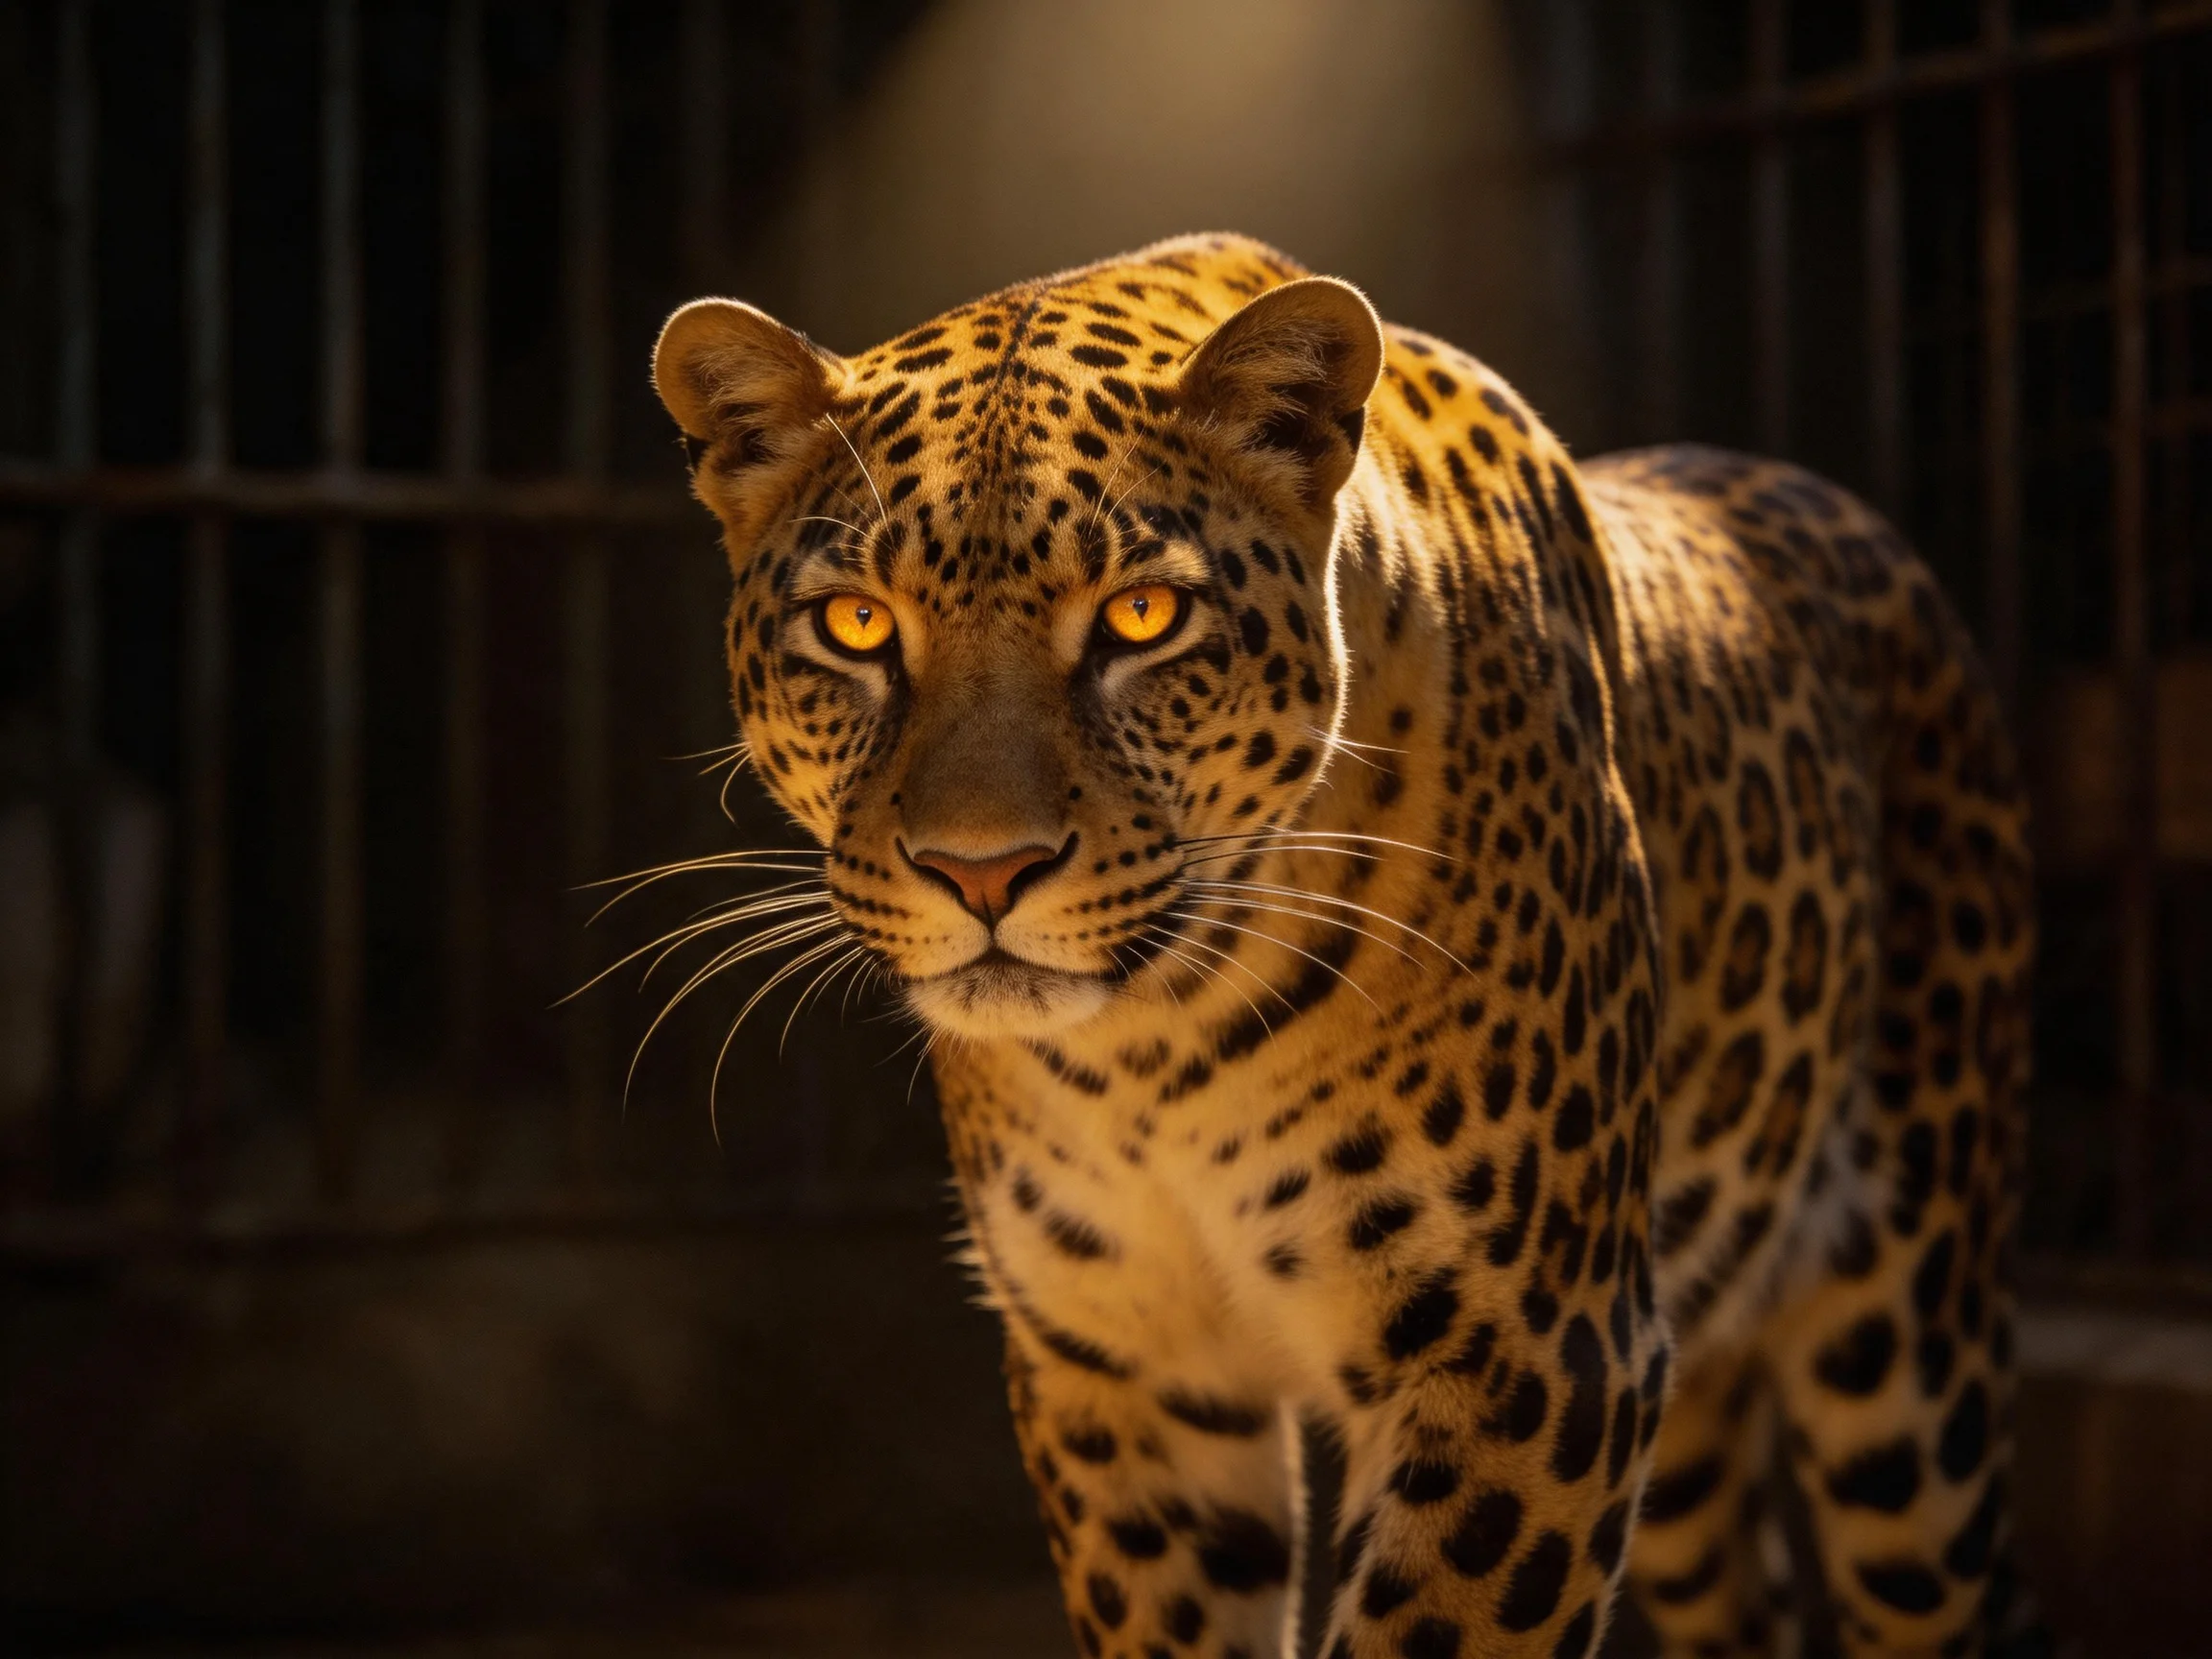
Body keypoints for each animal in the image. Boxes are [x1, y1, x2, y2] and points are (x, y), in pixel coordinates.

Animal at [648, 233, 2038, 1659]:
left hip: (1910, 1357)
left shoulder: (1527, 1357)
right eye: (857, 627)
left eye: (1142, 619)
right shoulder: (1122, 1370)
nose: (983, 870)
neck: (1151, 1050)